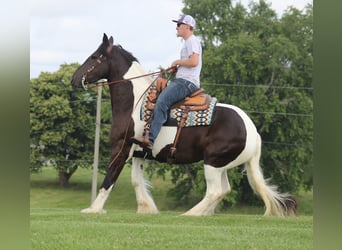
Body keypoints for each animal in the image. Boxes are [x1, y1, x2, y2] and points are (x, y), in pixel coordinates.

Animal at [71, 33, 296, 217]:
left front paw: (93, 209)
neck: (134, 103)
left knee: (214, 191)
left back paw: (190, 214)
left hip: (212, 162)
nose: (74, 79)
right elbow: (136, 181)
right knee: (224, 190)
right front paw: (146, 208)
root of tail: (253, 131)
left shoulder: (122, 147)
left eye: (94, 56)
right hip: (221, 164)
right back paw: (203, 213)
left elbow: (109, 179)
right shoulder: (139, 153)